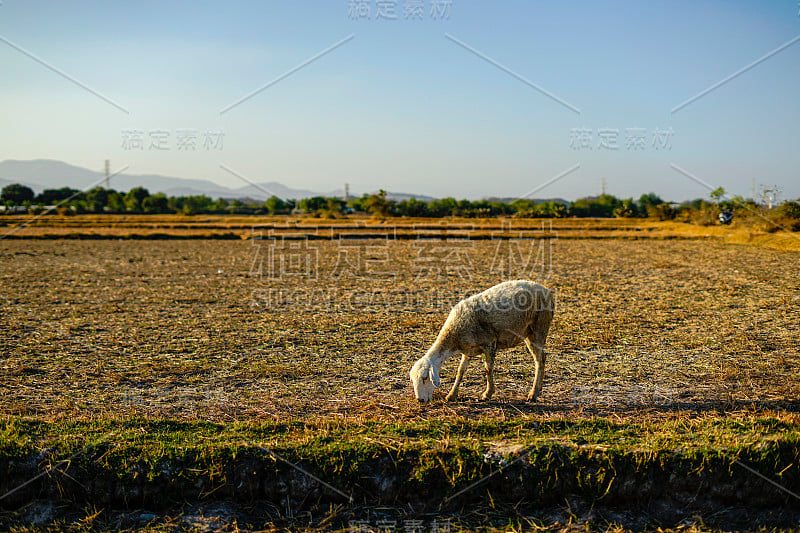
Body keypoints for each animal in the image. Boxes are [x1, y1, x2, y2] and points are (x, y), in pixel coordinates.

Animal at [410, 280, 552, 402]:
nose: (420, 400)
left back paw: (533, 393)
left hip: (539, 328)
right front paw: (452, 395)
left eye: (425, 378)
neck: (454, 335)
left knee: (539, 359)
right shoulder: (467, 349)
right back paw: (538, 389)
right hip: (529, 333)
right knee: (542, 357)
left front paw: (487, 394)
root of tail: (546, 290)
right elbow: (460, 371)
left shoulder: (489, 343)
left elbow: (488, 369)